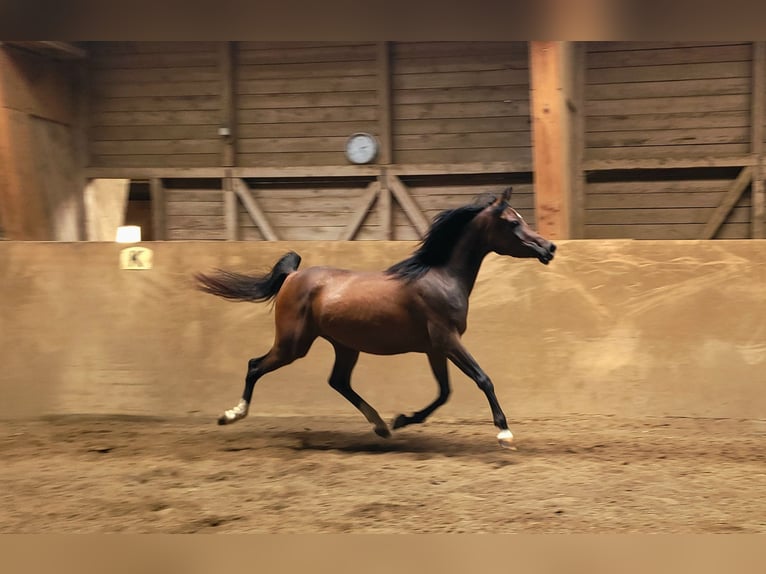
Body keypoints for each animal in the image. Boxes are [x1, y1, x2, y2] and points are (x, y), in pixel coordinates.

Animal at [195, 187, 556, 448]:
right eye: (513, 222)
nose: (549, 248)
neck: (440, 277)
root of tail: (293, 275)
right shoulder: (447, 340)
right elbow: (483, 379)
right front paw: (504, 433)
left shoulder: (435, 348)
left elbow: (444, 393)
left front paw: (402, 419)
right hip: (292, 344)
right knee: (255, 366)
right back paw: (231, 415)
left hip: (344, 345)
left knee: (338, 381)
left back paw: (381, 425)